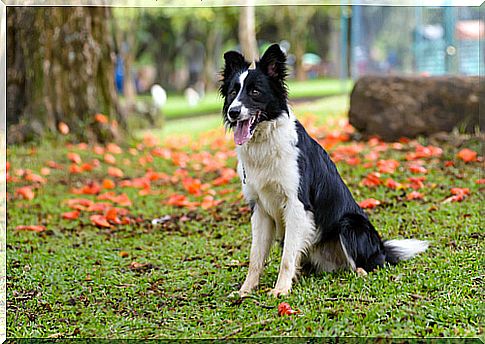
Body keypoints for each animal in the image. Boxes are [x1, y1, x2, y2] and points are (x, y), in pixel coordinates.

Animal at [219, 44, 428, 296]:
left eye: (255, 92)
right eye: (233, 93)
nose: (233, 112)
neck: (264, 143)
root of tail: (381, 249)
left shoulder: (297, 204)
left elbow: (287, 258)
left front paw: (280, 290)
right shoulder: (259, 207)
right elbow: (256, 257)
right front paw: (245, 290)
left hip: (349, 226)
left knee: (366, 265)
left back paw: (360, 272)